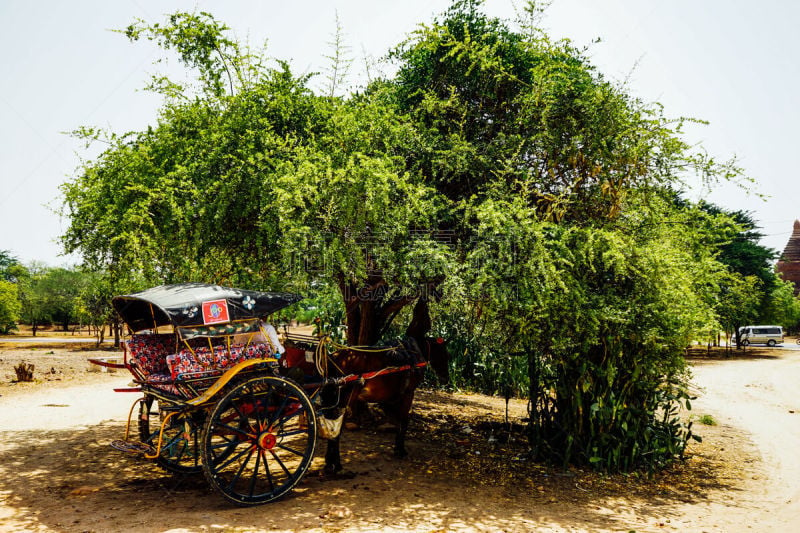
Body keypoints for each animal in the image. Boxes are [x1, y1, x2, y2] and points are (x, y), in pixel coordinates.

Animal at [324, 334, 454, 472]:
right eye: (446, 355)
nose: (446, 379)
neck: (413, 354)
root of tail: (334, 357)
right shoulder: (408, 393)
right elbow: (404, 421)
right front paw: (400, 450)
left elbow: (398, 420)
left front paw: (397, 448)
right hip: (345, 399)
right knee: (337, 428)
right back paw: (336, 464)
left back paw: (329, 462)